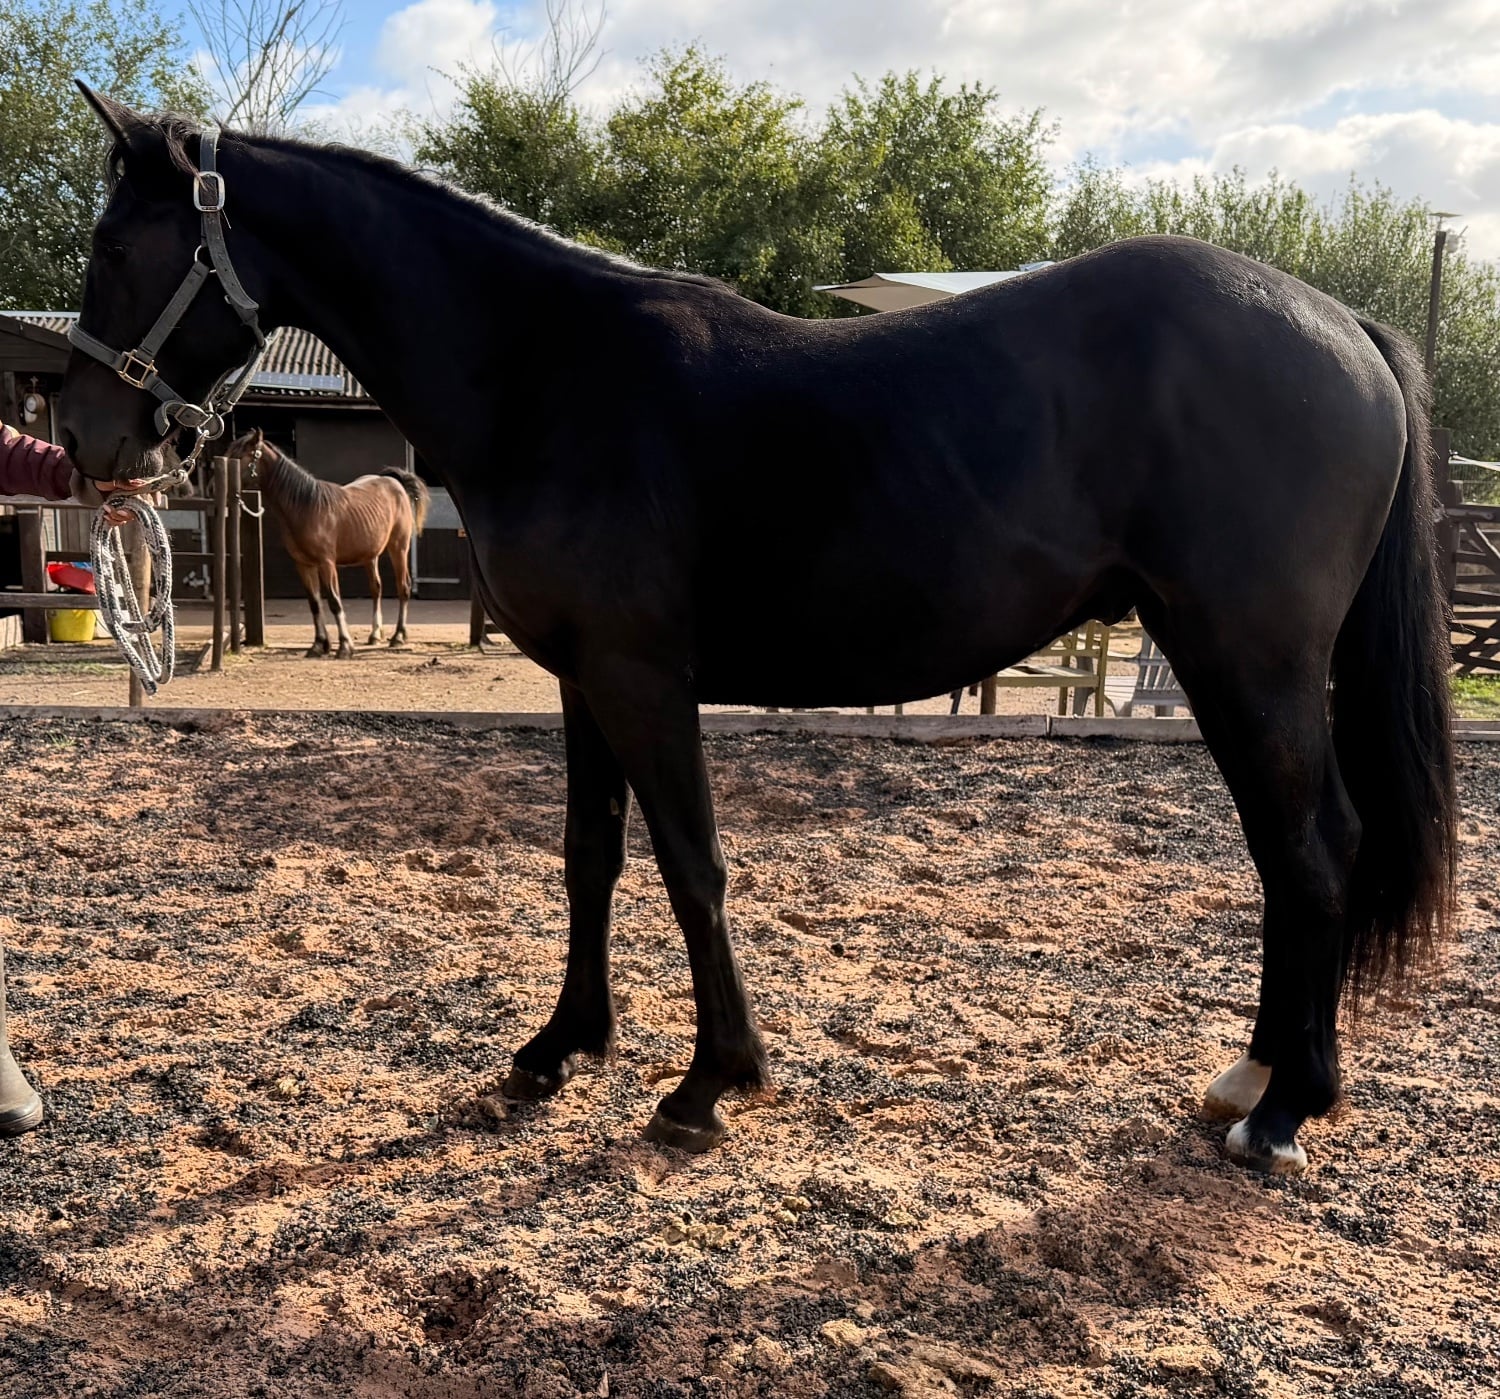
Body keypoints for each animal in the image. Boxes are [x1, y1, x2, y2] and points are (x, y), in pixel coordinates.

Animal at [225, 427, 429, 657]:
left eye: (241, 456)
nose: (214, 486)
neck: (307, 507)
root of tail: (395, 483)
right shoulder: (303, 565)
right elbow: (315, 603)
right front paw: (318, 645)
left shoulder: (326, 563)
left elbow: (334, 601)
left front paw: (345, 646)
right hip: (370, 555)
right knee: (376, 588)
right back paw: (375, 635)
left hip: (398, 548)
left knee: (403, 586)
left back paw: (398, 637)